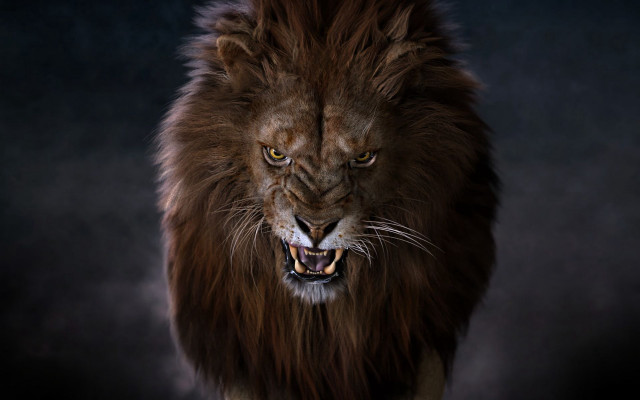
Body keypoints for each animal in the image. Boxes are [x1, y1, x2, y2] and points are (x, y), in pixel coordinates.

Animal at [156, 0, 498, 399]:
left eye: (363, 157)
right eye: (276, 153)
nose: (316, 228)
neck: (319, 321)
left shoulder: (421, 348)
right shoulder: (246, 356)